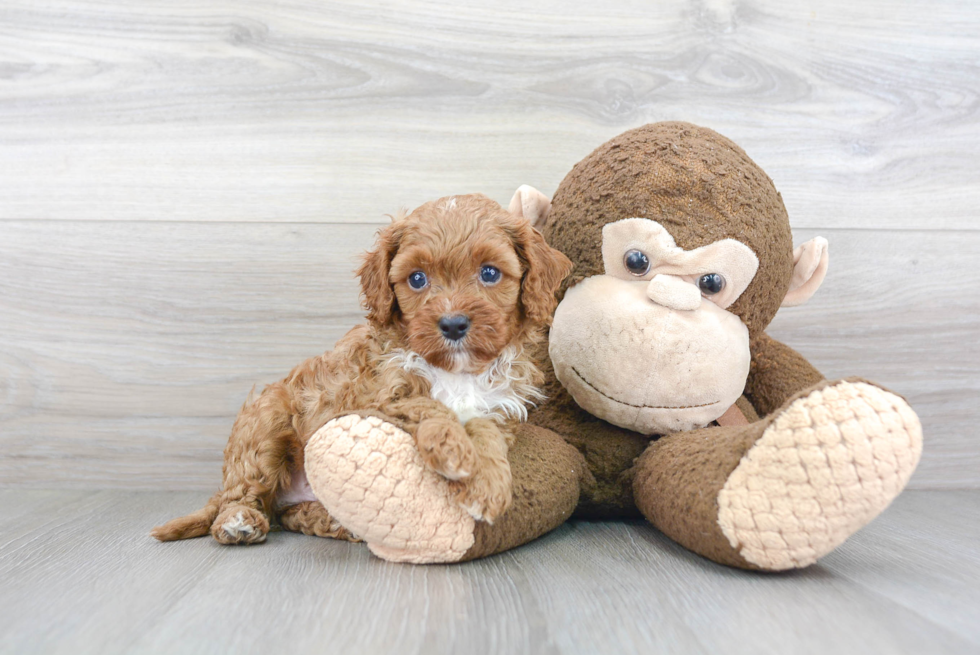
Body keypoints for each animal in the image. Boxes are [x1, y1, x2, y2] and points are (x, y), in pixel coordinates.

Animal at [149, 192, 572, 544]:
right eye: (417, 278)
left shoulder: (499, 406)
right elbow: (429, 406)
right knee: (244, 491)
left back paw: (341, 523)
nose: (453, 324)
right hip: (265, 420)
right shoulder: (375, 396)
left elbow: (485, 431)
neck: (456, 372)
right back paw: (238, 521)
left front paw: (488, 483)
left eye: (489, 273)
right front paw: (454, 451)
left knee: (293, 516)